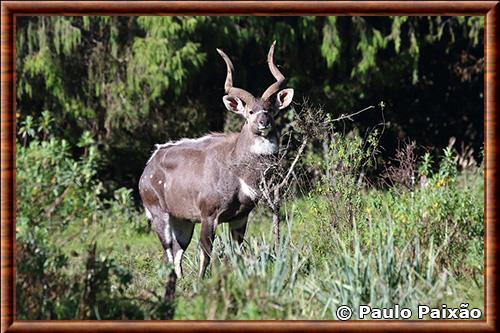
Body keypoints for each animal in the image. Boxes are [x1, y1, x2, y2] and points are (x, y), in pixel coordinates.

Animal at [139, 41, 292, 278]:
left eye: (270, 110)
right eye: (250, 111)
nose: (263, 123)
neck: (239, 172)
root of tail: (147, 169)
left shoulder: (240, 216)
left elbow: (237, 251)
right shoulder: (208, 214)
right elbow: (206, 252)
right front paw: (202, 282)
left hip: (182, 220)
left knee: (178, 251)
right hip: (159, 213)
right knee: (168, 251)